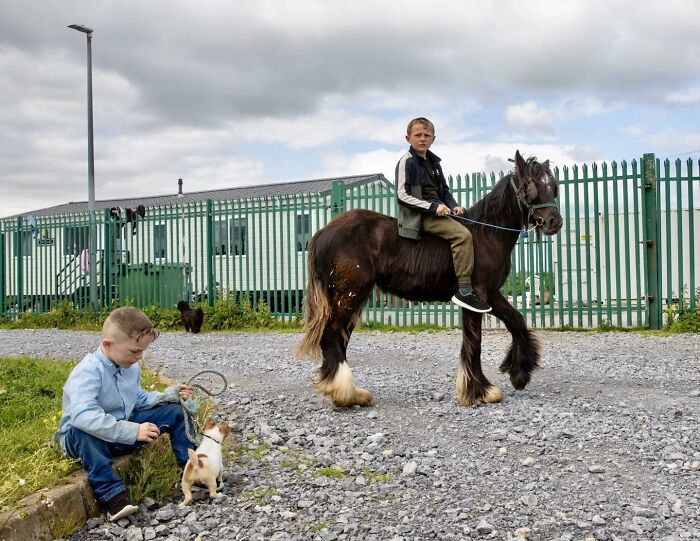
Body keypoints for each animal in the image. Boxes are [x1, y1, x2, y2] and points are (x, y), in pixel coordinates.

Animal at [295, 150, 563, 407]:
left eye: (553, 186)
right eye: (531, 185)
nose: (555, 222)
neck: (485, 233)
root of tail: (322, 233)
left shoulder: (490, 295)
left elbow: (516, 321)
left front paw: (519, 373)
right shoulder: (474, 296)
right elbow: (474, 342)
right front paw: (479, 391)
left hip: (350, 298)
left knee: (338, 338)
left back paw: (344, 391)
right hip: (350, 295)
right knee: (332, 335)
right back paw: (346, 392)